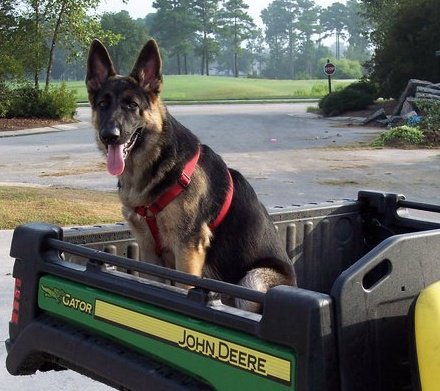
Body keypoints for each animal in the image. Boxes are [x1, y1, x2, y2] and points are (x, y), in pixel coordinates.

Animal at [86, 39, 296, 312]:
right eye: (103, 105)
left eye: (132, 105)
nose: (109, 135)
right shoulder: (149, 252)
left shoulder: (187, 250)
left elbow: (184, 288)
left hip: (253, 278)